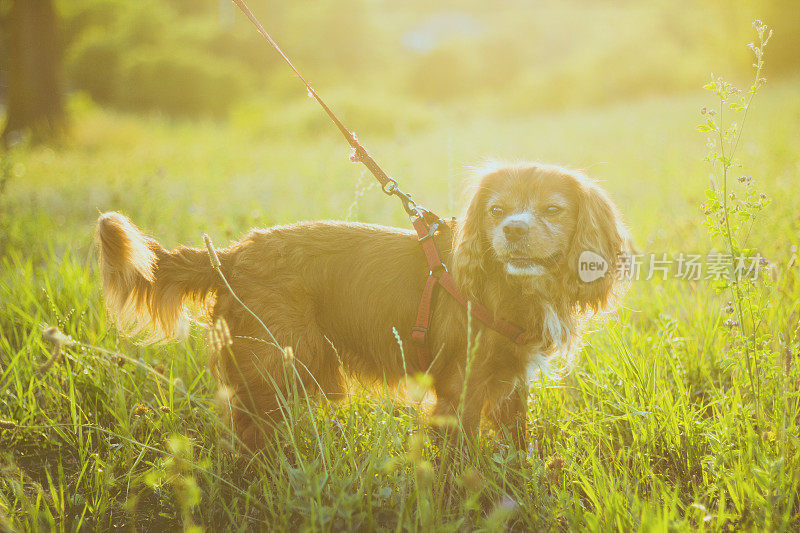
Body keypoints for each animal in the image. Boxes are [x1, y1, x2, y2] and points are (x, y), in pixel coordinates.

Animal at [95, 161, 632, 448]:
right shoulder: (460, 385)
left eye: (553, 210)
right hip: (278, 363)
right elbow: (461, 456)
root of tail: (229, 255)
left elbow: (517, 441)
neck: (512, 286)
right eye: (495, 210)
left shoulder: (510, 380)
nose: (512, 230)